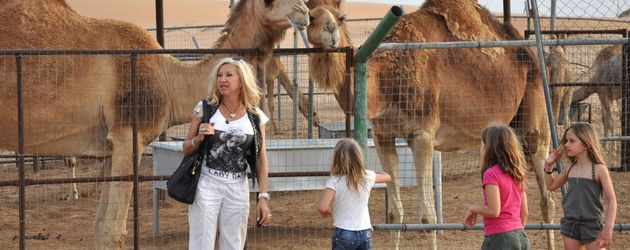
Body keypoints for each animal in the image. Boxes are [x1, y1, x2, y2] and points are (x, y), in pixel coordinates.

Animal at [0, 0, 308, 248]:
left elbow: (99, 226)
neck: (169, 78)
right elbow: (113, 229)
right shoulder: (129, 136)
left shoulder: (111, 146)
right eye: (268, 1)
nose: (303, 11)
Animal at [310, 0, 552, 249]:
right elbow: (394, 213)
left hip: (535, 104)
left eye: (341, 17)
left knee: (546, 192)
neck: (387, 80)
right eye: (311, 16)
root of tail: (528, 51)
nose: (330, 31)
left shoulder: (422, 135)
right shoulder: (382, 135)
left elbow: (428, 217)